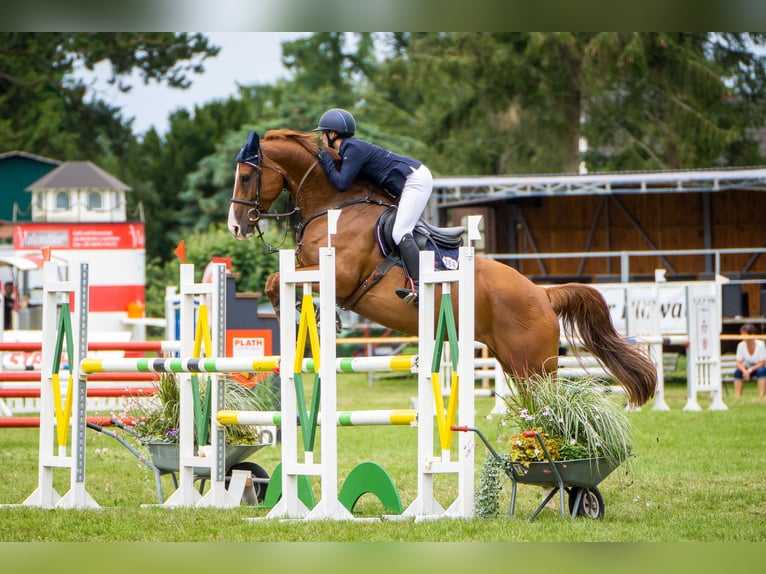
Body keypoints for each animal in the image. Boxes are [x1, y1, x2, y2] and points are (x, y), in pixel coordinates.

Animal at [228, 129, 656, 407]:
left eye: (246, 176)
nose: (236, 227)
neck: (335, 205)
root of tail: (542, 294)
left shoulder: (340, 275)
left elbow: (276, 280)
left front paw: (298, 315)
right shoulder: (310, 265)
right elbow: (279, 279)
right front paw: (312, 317)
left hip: (533, 365)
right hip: (514, 364)